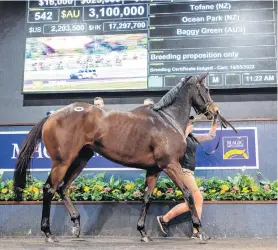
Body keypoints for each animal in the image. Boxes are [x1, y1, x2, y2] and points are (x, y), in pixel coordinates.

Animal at [13, 73, 219, 243]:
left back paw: (76, 225)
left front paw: (143, 233)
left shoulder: (154, 170)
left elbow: (147, 198)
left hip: (80, 159)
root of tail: (52, 115)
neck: (166, 120)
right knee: (49, 189)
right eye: (206, 89)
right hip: (62, 162)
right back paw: (48, 234)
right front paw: (200, 231)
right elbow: (188, 194)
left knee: (63, 188)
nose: (215, 111)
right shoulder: (170, 165)